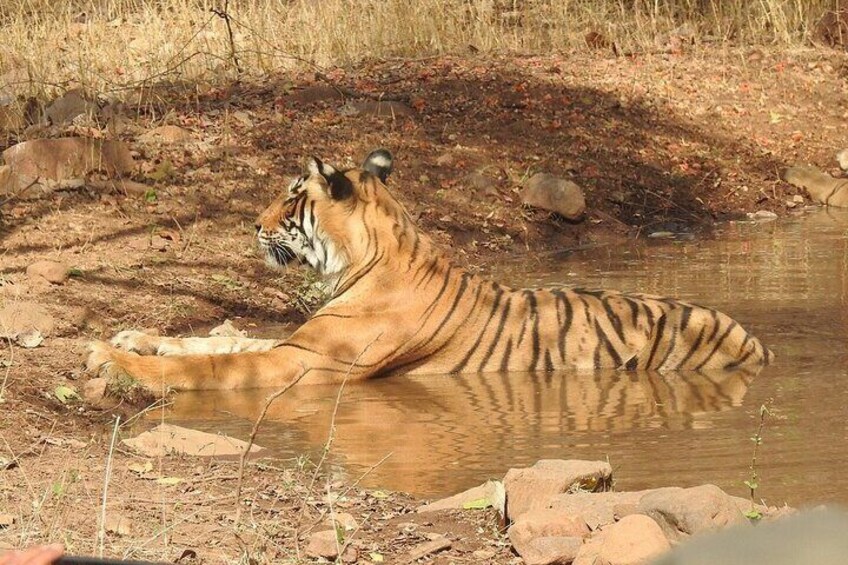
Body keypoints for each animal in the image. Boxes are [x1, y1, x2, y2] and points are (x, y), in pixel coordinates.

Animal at [86, 150, 776, 396]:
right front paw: (132, 337)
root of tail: (757, 341)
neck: (364, 262)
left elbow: (214, 363)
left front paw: (110, 360)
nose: (253, 224)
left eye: (290, 198)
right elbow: (225, 339)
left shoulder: (305, 362)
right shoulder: (299, 342)